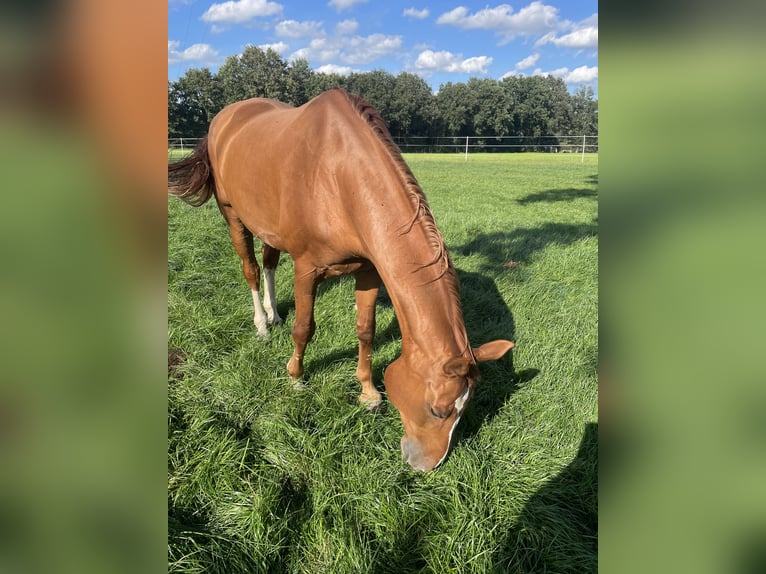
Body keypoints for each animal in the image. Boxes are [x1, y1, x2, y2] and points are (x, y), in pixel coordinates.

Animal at [170, 88, 516, 470]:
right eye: (437, 410)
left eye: (464, 409)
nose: (426, 466)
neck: (339, 178)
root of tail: (225, 118)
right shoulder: (307, 270)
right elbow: (304, 329)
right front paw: (296, 378)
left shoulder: (368, 271)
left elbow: (365, 330)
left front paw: (368, 392)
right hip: (233, 216)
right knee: (251, 269)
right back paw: (262, 324)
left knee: (270, 262)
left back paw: (274, 314)